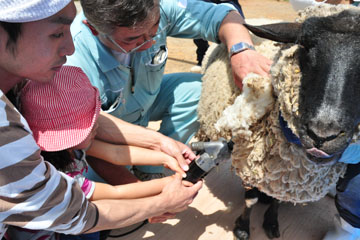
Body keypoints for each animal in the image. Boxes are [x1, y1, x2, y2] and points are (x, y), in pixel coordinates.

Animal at [197, 4, 360, 240]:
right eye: (304, 45)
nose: (321, 135)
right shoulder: (250, 161)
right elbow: (251, 199)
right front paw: (242, 227)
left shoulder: (283, 177)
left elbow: (277, 200)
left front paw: (272, 221)